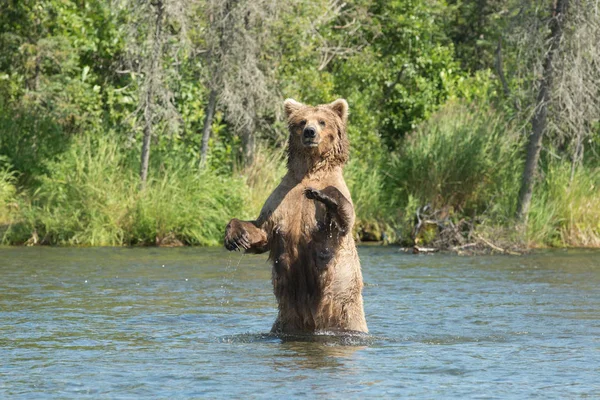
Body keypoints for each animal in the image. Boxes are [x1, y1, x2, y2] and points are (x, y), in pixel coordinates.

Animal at [224, 97, 368, 334]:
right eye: (302, 121)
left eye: (322, 121)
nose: (310, 132)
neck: (310, 169)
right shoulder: (282, 199)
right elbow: (263, 230)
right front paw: (237, 235)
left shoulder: (331, 206)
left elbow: (344, 220)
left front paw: (324, 194)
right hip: (287, 316)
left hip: (346, 307)